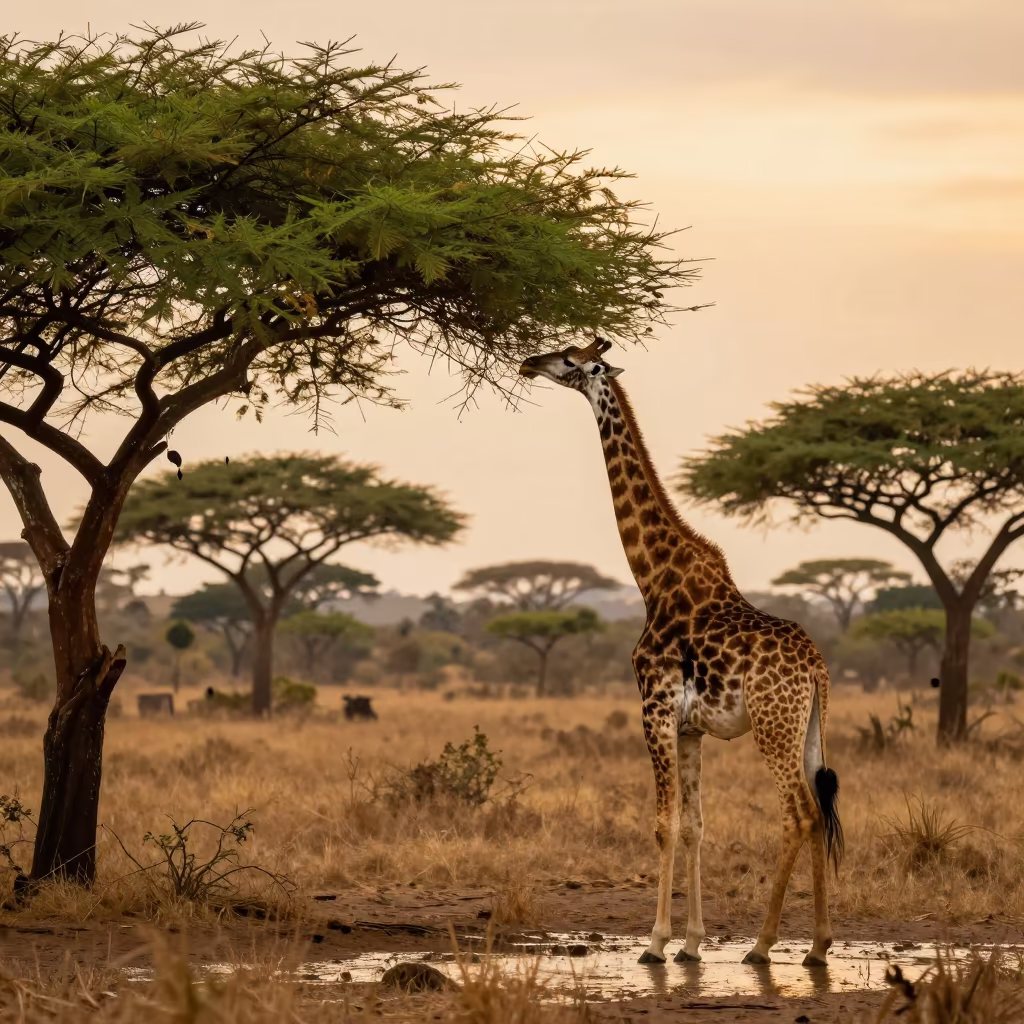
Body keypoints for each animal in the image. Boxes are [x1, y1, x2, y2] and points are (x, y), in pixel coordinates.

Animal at [519, 337, 843, 967]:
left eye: (571, 360)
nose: (527, 362)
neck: (653, 578)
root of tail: (815, 668)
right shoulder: (691, 727)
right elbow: (695, 824)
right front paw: (692, 942)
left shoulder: (655, 709)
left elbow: (663, 823)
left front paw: (655, 941)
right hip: (809, 727)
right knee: (819, 812)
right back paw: (817, 946)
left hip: (772, 724)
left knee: (797, 812)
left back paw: (763, 945)